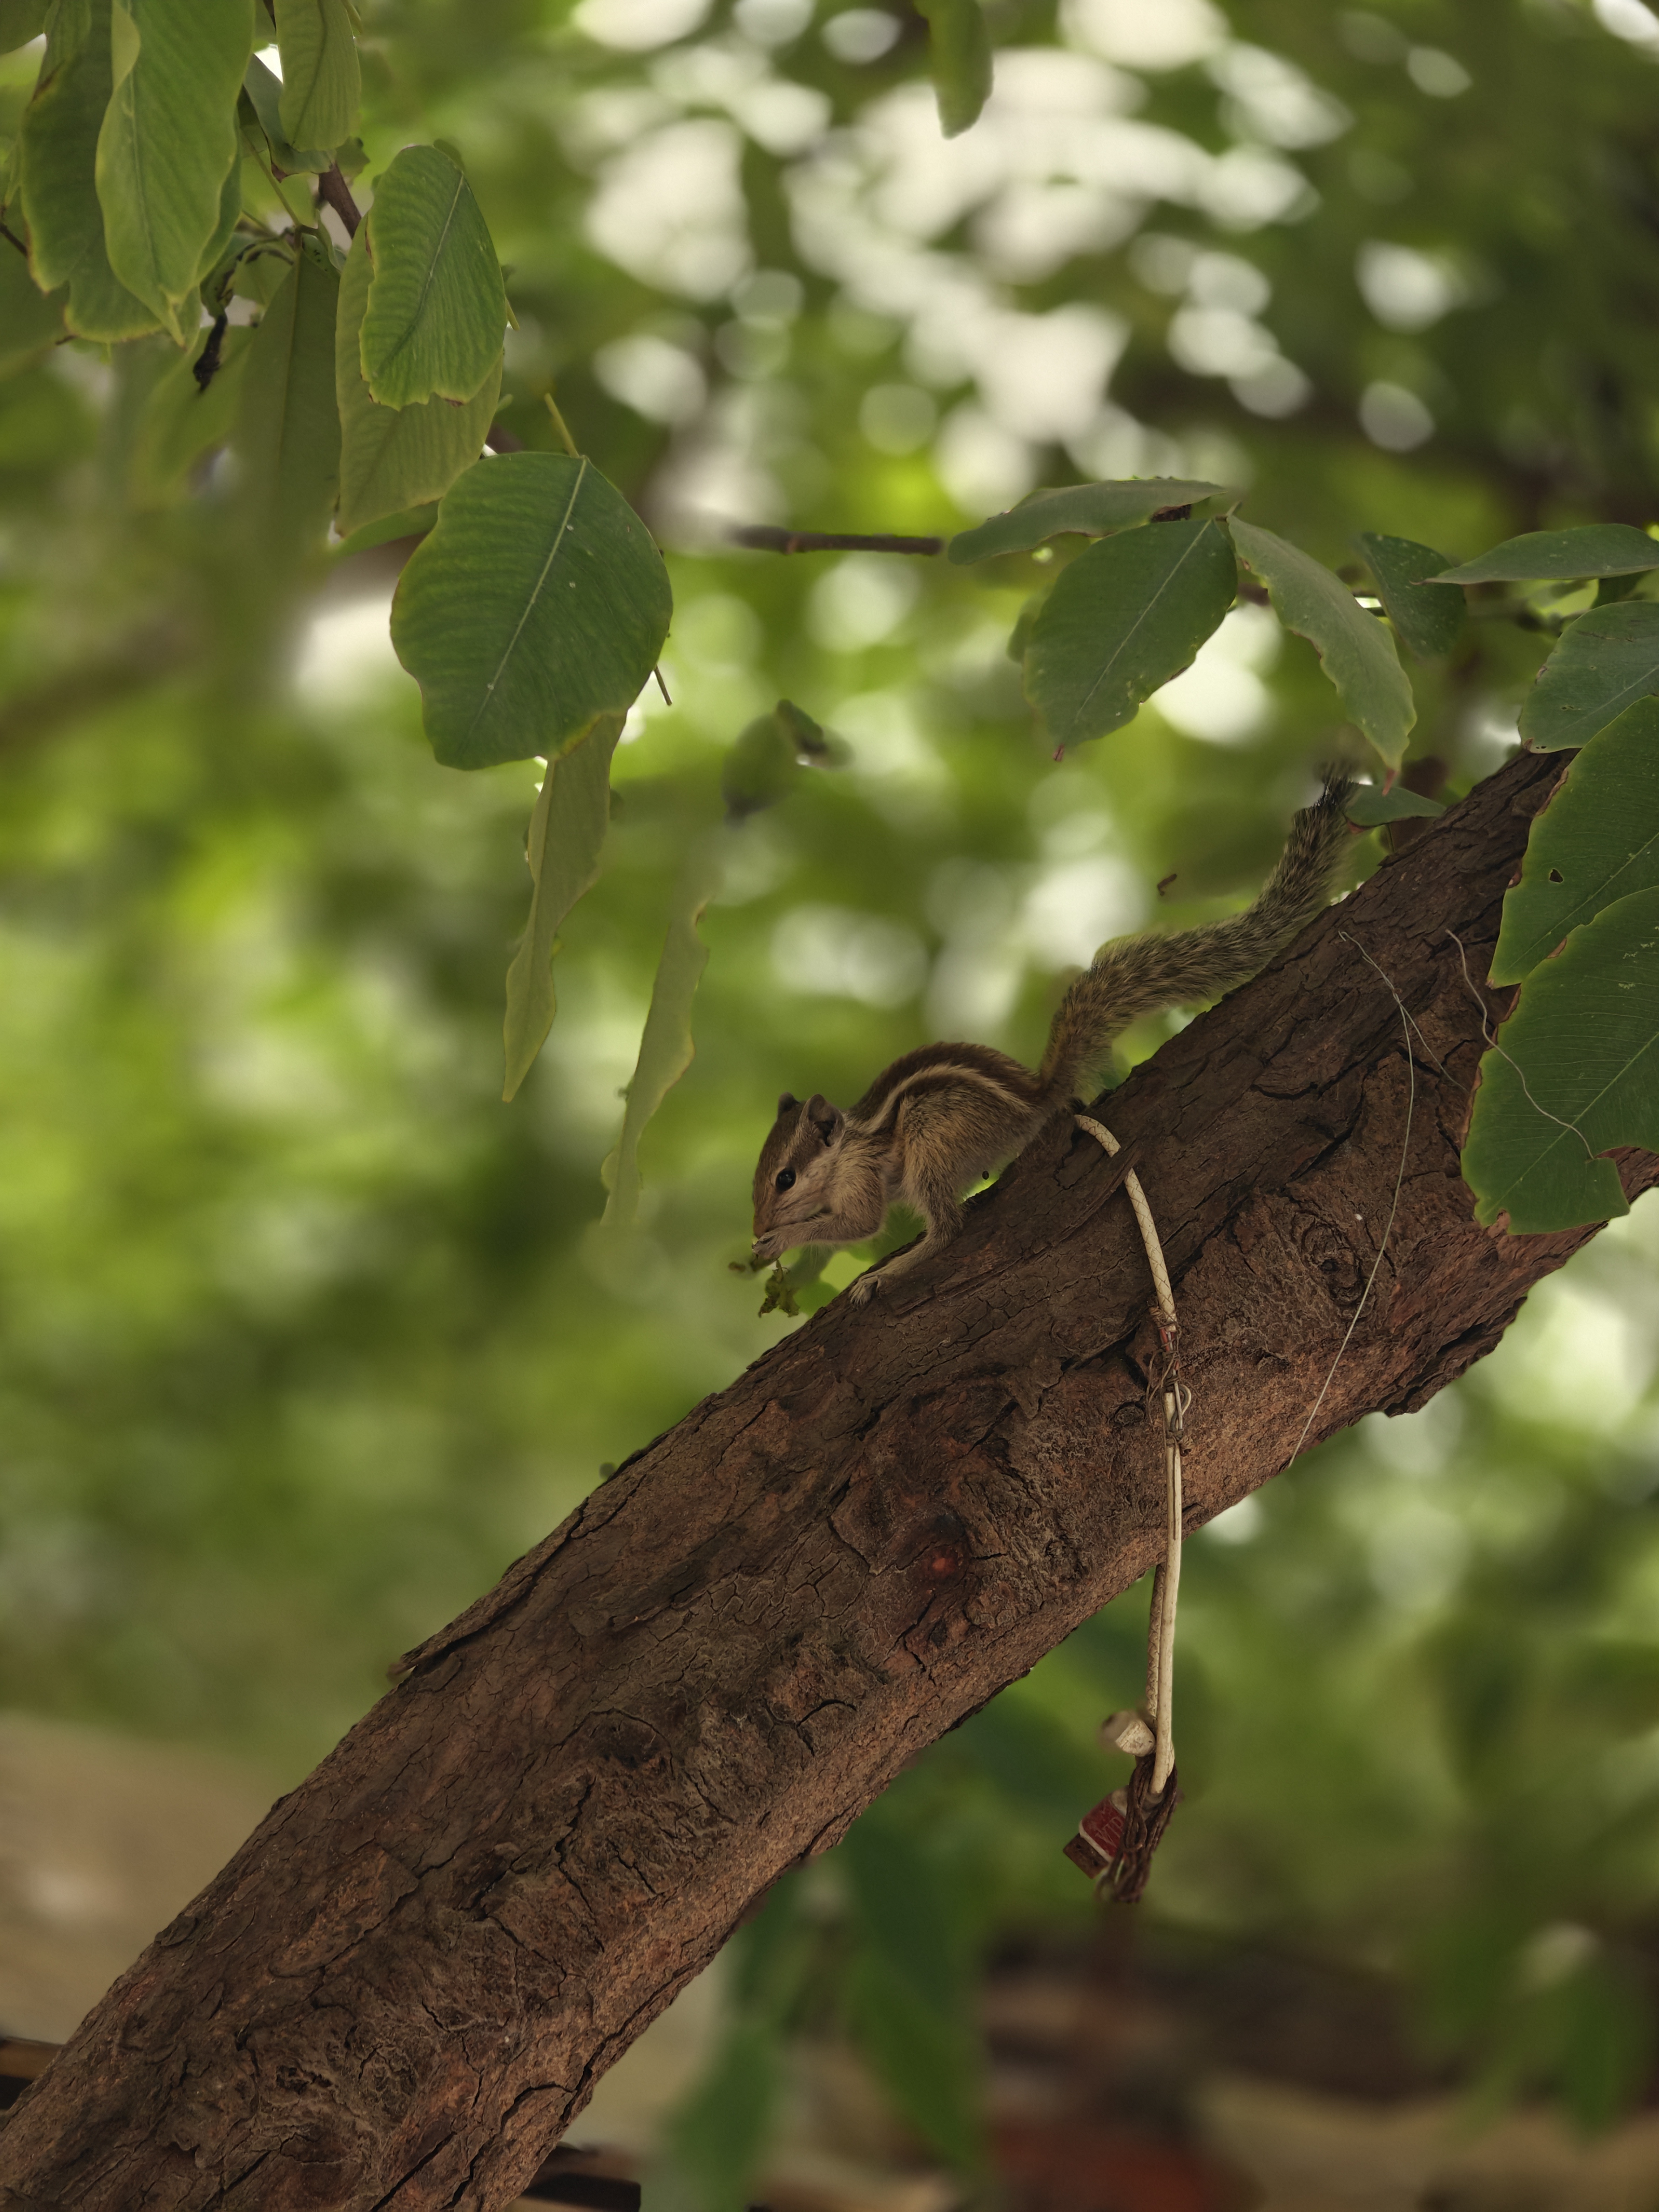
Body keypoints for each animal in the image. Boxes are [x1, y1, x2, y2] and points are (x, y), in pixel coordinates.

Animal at [750, 774, 1354, 1304]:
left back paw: (887, 1274)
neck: (844, 1150)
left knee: (946, 1230)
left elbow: (859, 1224)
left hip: (932, 1133)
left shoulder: (861, 1182)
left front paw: (783, 1238)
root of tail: (1034, 1099)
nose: (756, 1226)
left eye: (785, 1178)